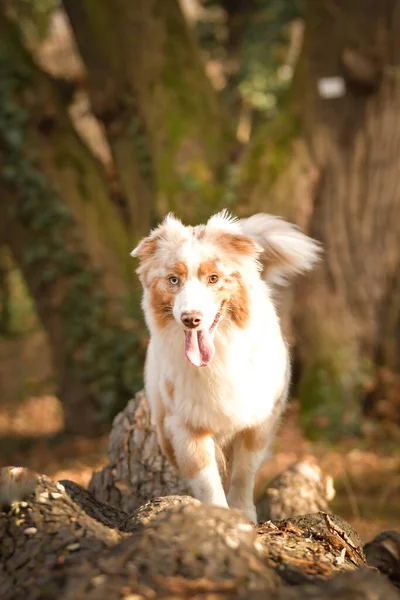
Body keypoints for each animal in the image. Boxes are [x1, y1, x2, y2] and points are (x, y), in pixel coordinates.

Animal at [133, 210, 320, 520]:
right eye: (173, 280)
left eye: (213, 278)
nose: (191, 319)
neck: (218, 356)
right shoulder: (185, 424)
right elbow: (206, 478)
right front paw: (218, 516)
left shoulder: (258, 420)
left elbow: (244, 473)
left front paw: (244, 513)